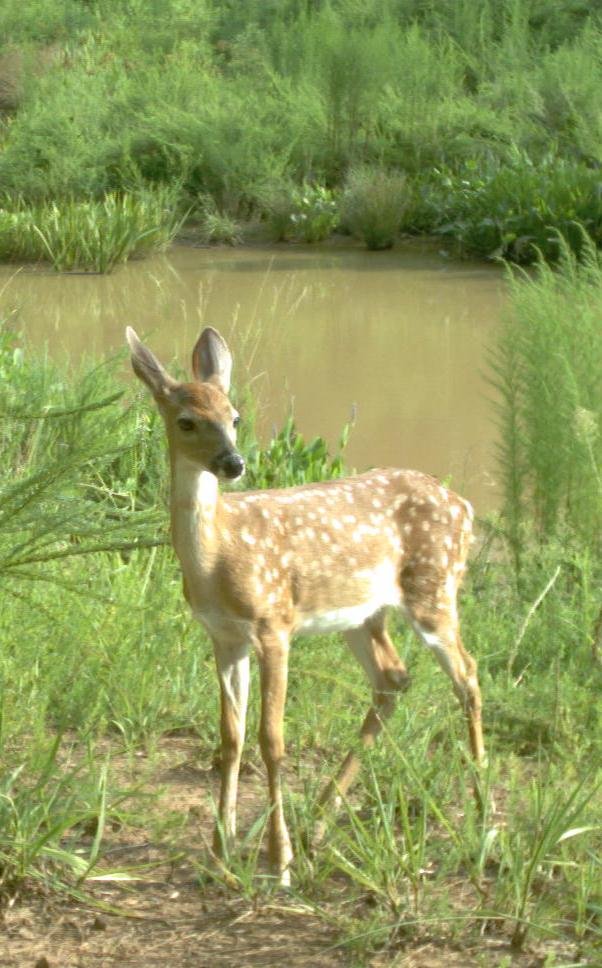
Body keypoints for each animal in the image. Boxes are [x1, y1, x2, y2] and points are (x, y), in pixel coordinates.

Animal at [126, 326, 482, 884]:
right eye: (186, 420)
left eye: (234, 417)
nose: (233, 463)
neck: (218, 557)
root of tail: (464, 507)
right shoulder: (224, 636)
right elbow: (230, 738)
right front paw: (220, 850)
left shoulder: (275, 623)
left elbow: (271, 738)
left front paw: (279, 860)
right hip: (363, 614)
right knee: (394, 677)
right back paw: (319, 817)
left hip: (434, 587)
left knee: (467, 675)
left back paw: (485, 815)